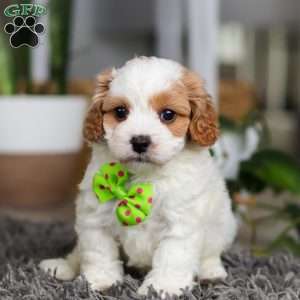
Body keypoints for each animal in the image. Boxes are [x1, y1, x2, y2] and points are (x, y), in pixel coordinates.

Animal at [39, 56, 237, 296]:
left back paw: (211, 273)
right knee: (78, 253)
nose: (140, 141)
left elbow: (172, 258)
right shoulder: (95, 217)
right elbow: (98, 252)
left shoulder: (180, 224)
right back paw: (62, 267)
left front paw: (162, 288)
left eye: (168, 115)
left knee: (211, 254)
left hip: (224, 226)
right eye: (120, 112)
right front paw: (101, 282)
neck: (144, 177)